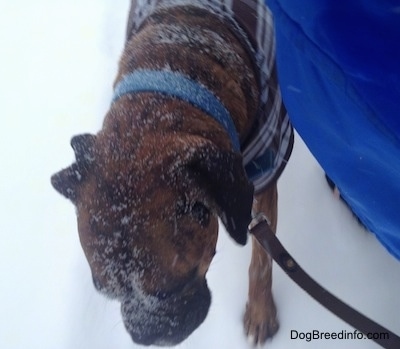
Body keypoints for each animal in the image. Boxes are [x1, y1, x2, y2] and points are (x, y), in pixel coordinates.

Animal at [51, 0, 292, 344]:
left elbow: (262, 259)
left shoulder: (264, 176)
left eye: (169, 289)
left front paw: (260, 313)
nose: (144, 337)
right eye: (105, 291)